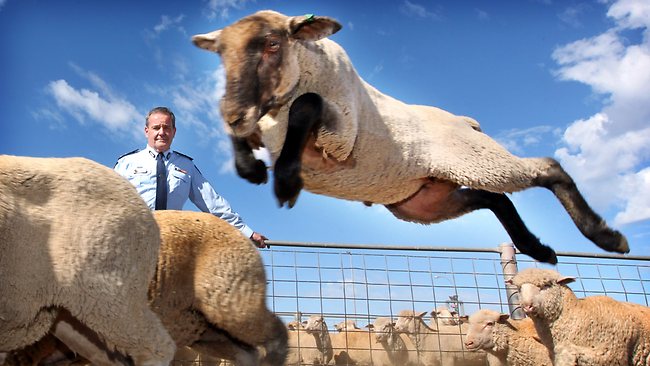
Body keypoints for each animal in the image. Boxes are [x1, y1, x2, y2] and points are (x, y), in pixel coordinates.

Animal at [192, 10, 628, 264]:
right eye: (222, 55)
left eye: (272, 43)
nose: (236, 113)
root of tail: (467, 122)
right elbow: (238, 131)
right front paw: (250, 168)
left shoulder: (340, 134)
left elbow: (306, 104)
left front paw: (285, 181)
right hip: (423, 201)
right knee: (494, 198)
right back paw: (538, 248)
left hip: (480, 160)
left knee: (546, 169)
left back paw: (606, 236)